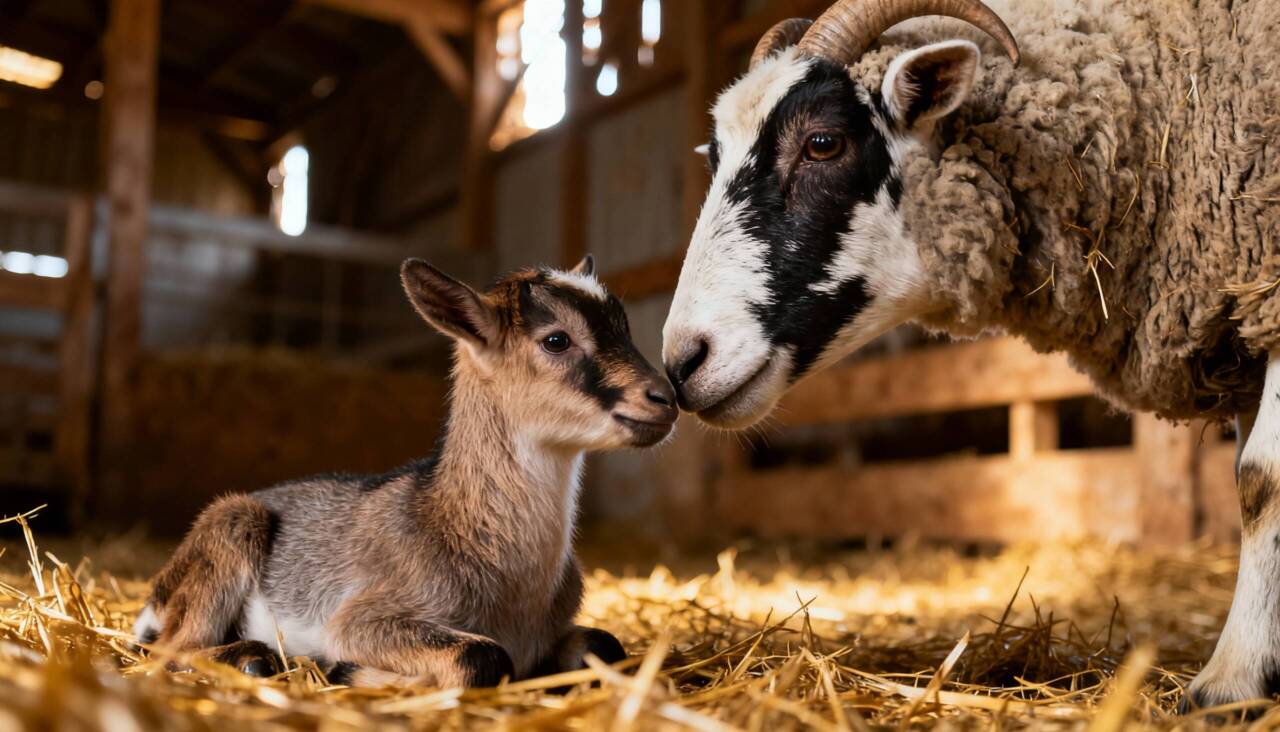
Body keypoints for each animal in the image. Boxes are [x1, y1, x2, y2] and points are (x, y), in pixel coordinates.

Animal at [134, 256, 677, 688]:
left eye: (626, 329)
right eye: (557, 340)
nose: (665, 397)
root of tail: (155, 598)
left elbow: (606, 645)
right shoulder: (362, 618)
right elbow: (482, 657)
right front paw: (343, 668)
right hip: (230, 529)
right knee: (171, 648)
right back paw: (254, 659)